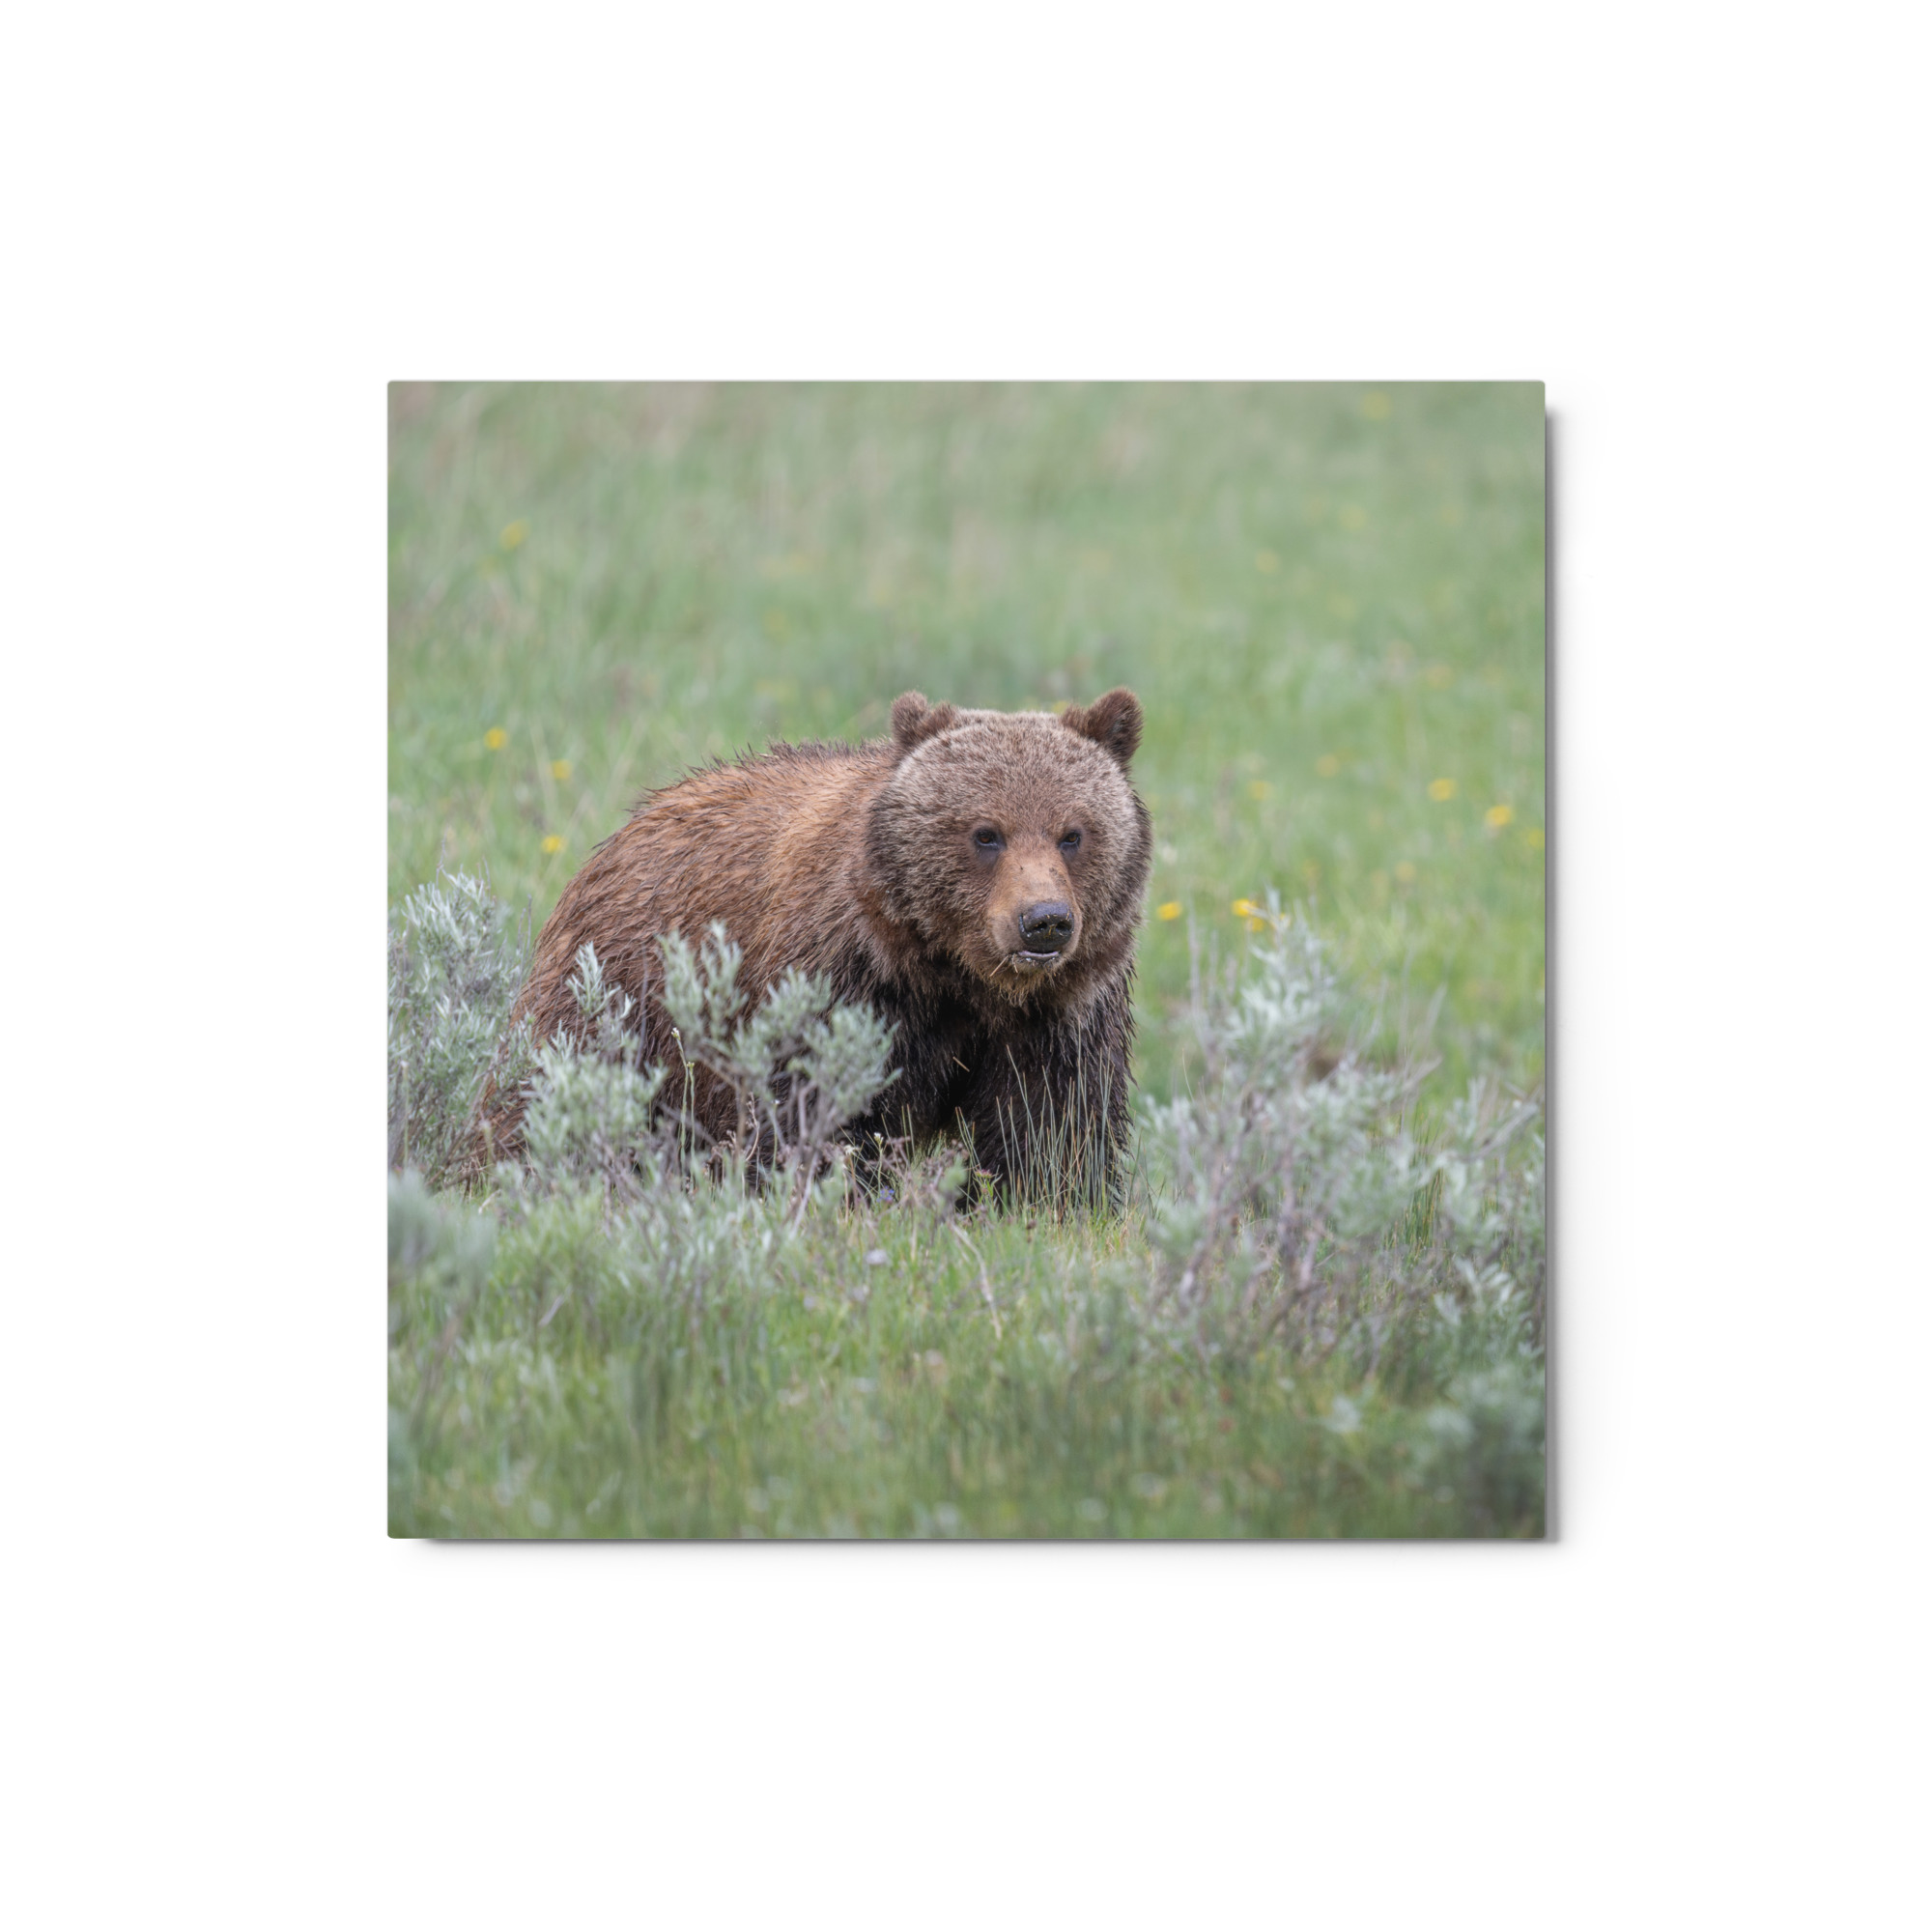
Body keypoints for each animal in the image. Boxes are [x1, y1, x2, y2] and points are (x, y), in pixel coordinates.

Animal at [476, 688, 1152, 1201]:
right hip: (618, 995)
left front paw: (1041, 1203)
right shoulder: (843, 983)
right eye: (986, 833)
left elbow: (1050, 1129)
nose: (1044, 921)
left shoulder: (1060, 1014)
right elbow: (811, 1112)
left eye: (1073, 833)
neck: (957, 976)